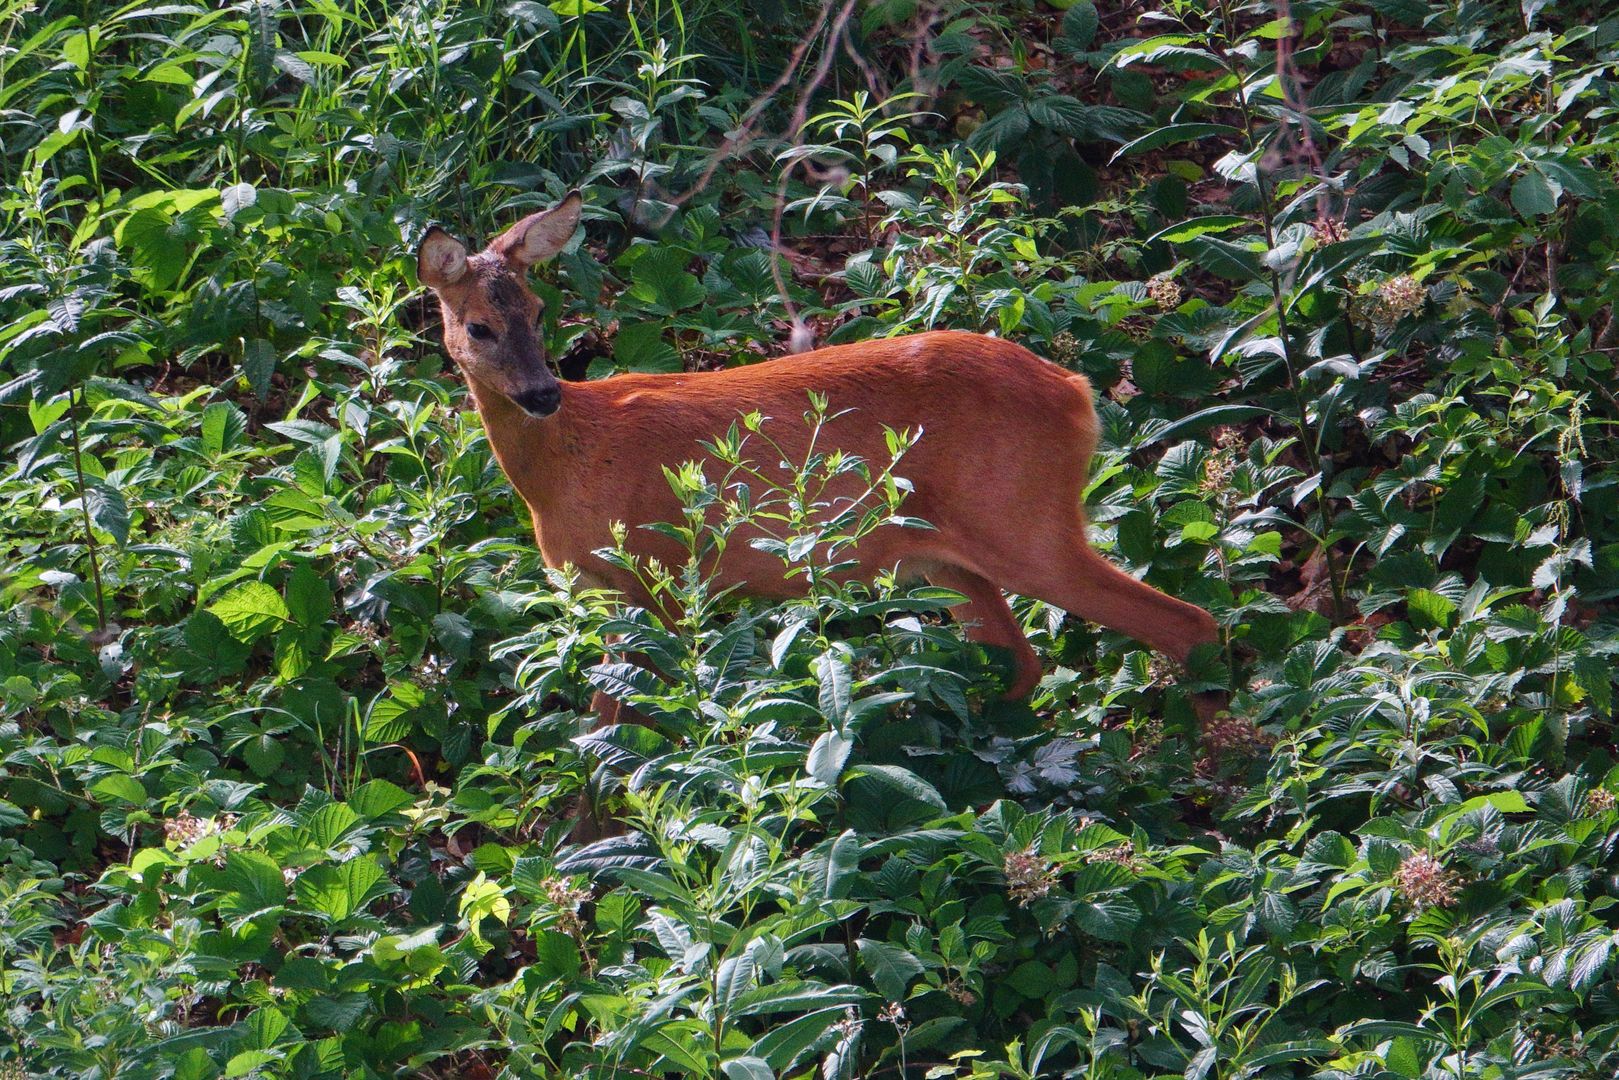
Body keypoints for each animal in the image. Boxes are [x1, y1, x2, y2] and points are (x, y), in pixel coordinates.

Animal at [417, 191, 1223, 819]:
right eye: (480, 325)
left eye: (538, 311)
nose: (542, 393)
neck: (567, 466)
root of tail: (1077, 394)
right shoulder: (601, 589)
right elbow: (602, 723)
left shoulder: (668, 574)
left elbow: (657, 721)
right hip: (945, 555)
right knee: (1021, 660)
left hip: (1023, 520)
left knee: (1186, 622)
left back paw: (1208, 779)